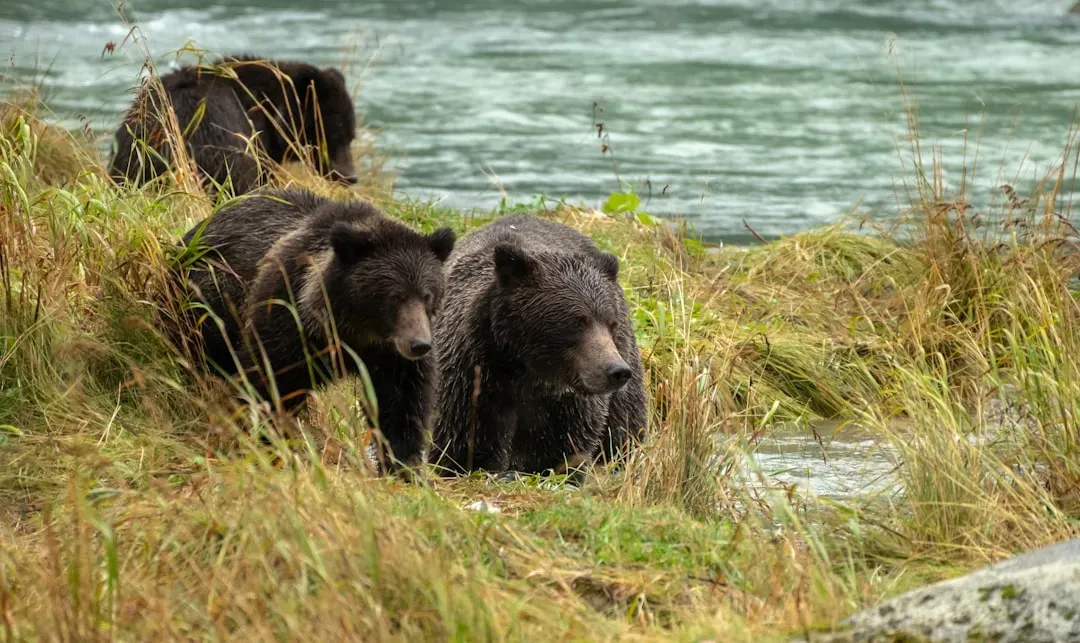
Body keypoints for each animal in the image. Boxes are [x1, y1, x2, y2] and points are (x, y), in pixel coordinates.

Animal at [178, 187, 456, 472]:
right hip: (208, 301)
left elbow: (402, 405)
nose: (419, 344)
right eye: (395, 296)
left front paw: (403, 465)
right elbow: (268, 381)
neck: (351, 332)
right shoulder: (287, 319)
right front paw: (265, 441)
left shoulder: (392, 358)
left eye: (427, 295)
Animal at [429, 214, 647, 477]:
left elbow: (563, 446)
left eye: (610, 323)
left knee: (623, 425)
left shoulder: (566, 404)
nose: (616, 370)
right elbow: (461, 439)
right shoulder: (472, 379)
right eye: (578, 321)